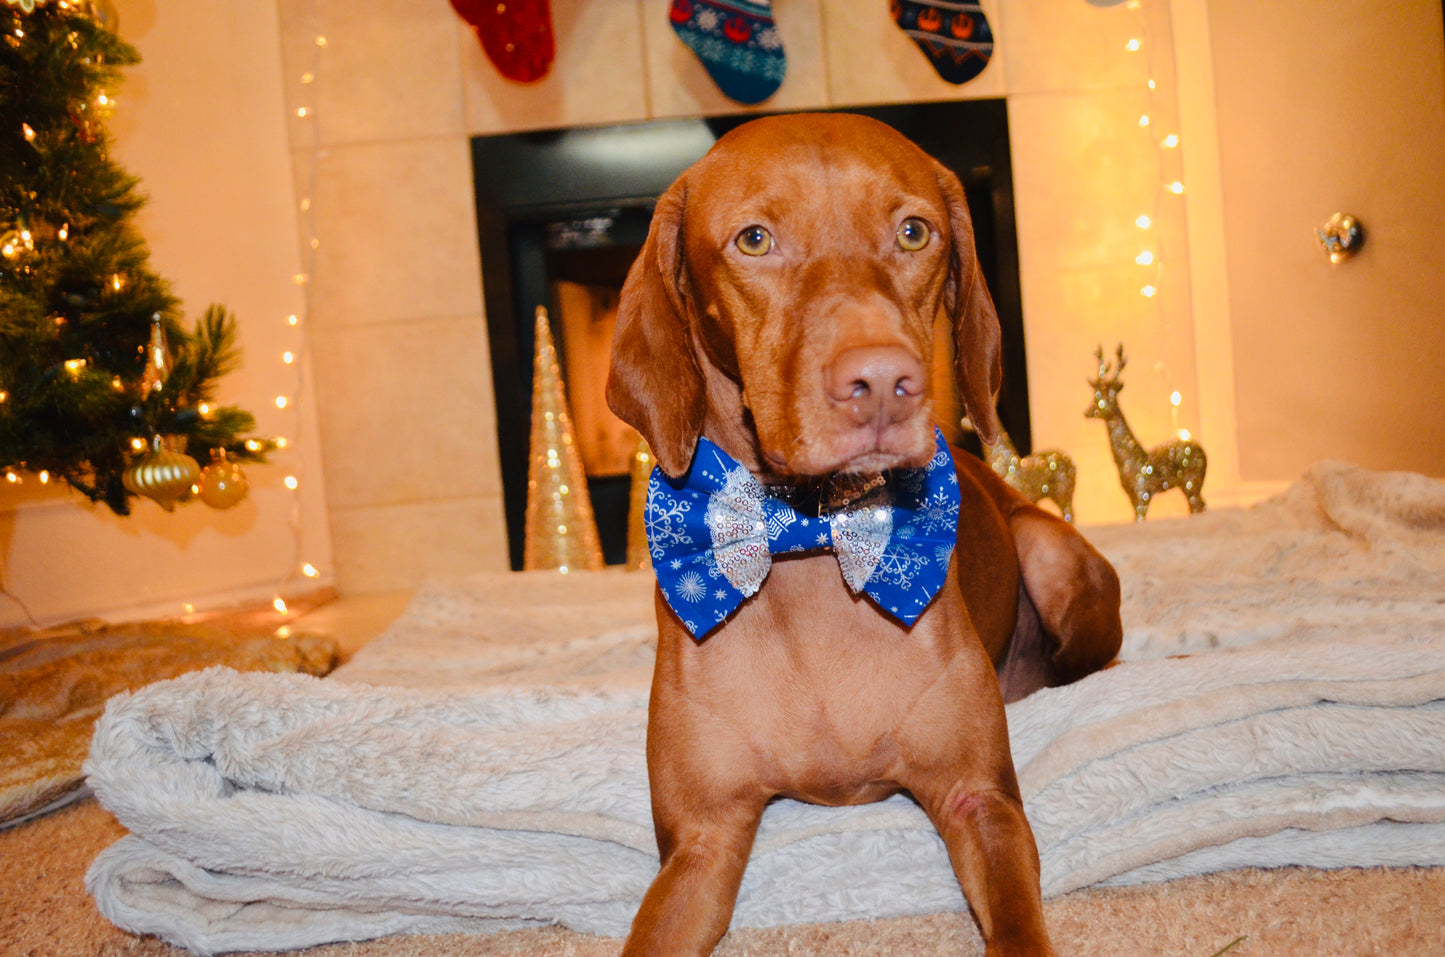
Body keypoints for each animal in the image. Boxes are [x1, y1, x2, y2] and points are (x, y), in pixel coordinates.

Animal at [604, 114, 1121, 957]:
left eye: (914, 231)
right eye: (754, 239)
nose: (882, 382)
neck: (809, 538)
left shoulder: (981, 802)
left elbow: (1018, 924)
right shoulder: (700, 842)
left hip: (1053, 564)